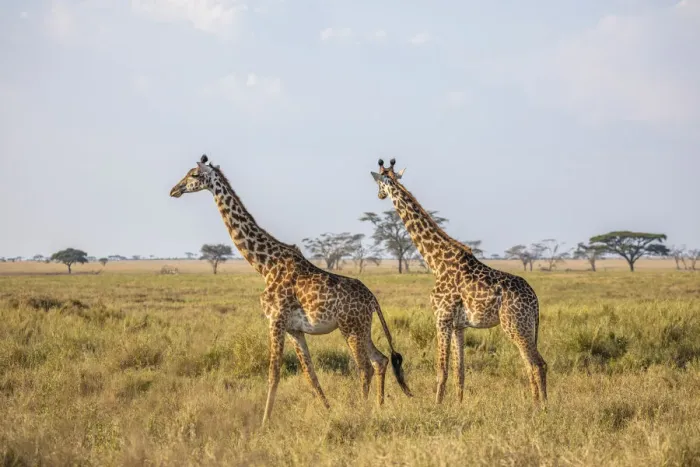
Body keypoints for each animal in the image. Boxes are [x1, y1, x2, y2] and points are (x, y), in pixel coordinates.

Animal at [169, 154, 412, 425]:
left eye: (193, 175)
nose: (174, 190)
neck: (265, 264)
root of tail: (372, 299)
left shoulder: (275, 319)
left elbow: (273, 373)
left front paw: (264, 423)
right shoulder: (294, 329)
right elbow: (310, 374)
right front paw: (328, 411)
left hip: (350, 327)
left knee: (365, 367)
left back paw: (363, 411)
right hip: (362, 327)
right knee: (380, 360)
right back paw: (379, 408)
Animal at [370, 158, 547, 406]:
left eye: (379, 183)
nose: (379, 195)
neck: (436, 261)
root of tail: (535, 300)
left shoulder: (441, 318)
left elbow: (441, 369)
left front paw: (437, 406)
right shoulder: (459, 325)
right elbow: (459, 371)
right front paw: (459, 404)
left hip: (515, 324)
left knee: (537, 364)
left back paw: (542, 406)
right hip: (527, 326)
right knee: (532, 364)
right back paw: (535, 403)